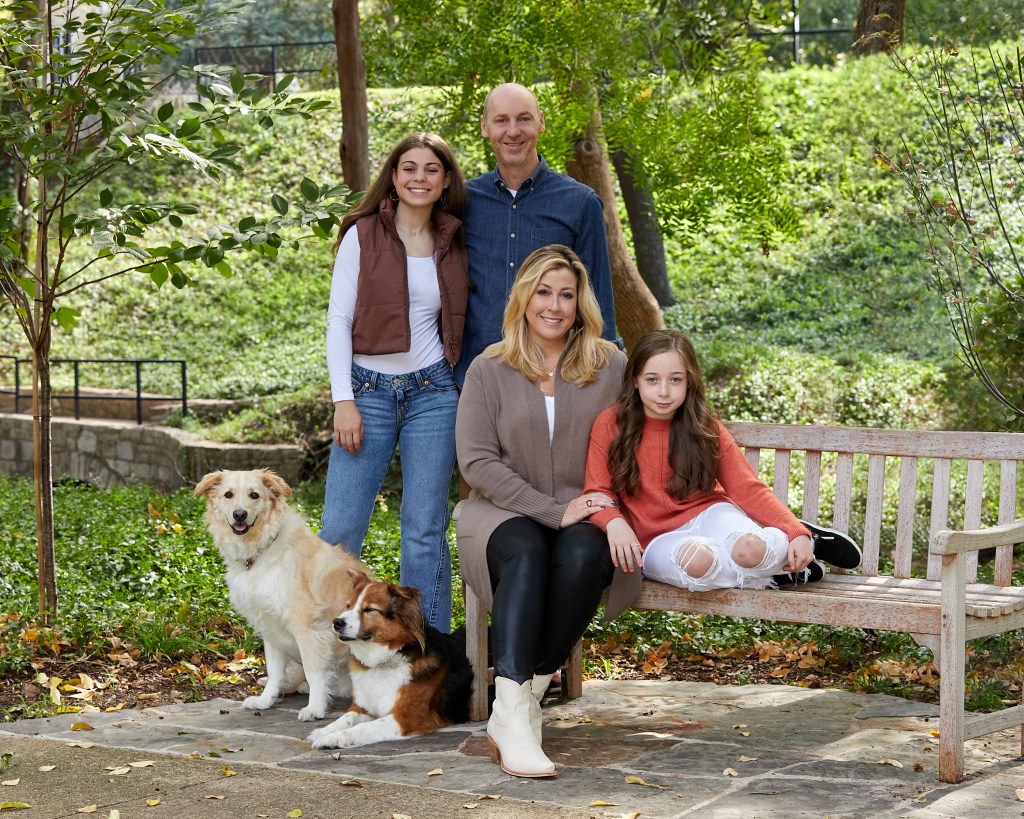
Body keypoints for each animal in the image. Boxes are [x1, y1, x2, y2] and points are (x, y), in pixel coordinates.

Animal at [193, 470, 370, 720]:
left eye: (254, 495)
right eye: (228, 494)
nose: (240, 515)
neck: (262, 549)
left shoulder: (307, 629)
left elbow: (314, 672)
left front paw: (315, 708)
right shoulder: (270, 626)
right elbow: (275, 672)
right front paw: (265, 701)